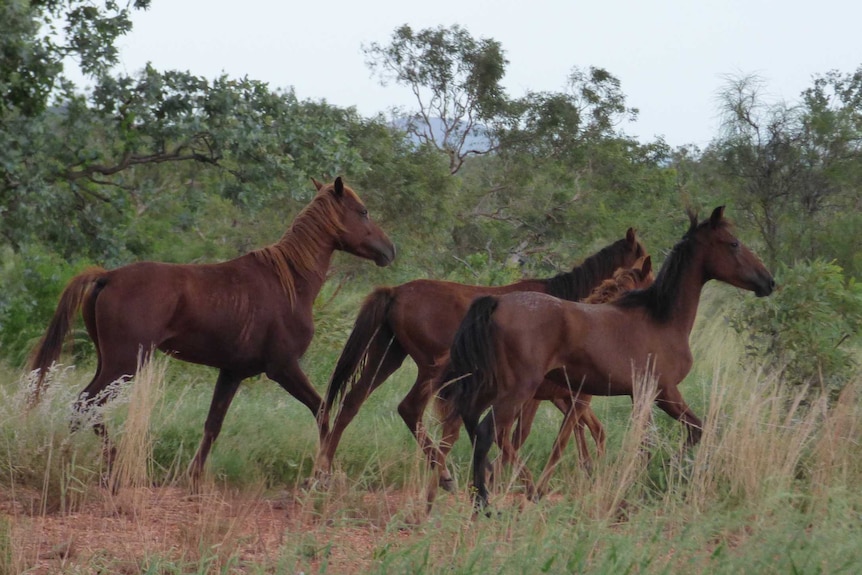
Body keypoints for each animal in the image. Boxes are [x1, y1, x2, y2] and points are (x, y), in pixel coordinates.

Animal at [29, 177, 394, 490]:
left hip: (110, 363)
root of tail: (108, 276)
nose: (390, 250)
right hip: (125, 365)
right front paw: (323, 473)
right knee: (84, 404)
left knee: (87, 407)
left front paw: (194, 478)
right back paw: (95, 464)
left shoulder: (232, 372)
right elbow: (322, 412)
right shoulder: (283, 368)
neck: (288, 282)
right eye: (363, 211)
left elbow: (212, 425)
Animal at [312, 227, 648, 488]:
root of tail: (394, 291)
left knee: (351, 403)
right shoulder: (540, 393)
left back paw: (324, 471)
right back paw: (444, 475)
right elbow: (525, 431)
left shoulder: (553, 392)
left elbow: (578, 425)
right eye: (646, 267)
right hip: (429, 370)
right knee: (409, 408)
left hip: (388, 357)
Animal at [438, 206, 776, 508]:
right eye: (733, 243)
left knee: (472, 426)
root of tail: (495, 303)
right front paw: (656, 479)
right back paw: (485, 502)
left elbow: (653, 441)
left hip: (490, 388)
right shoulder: (664, 392)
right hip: (517, 391)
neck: (661, 318)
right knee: (487, 433)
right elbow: (688, 432)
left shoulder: (640, 395)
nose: (769, 282)